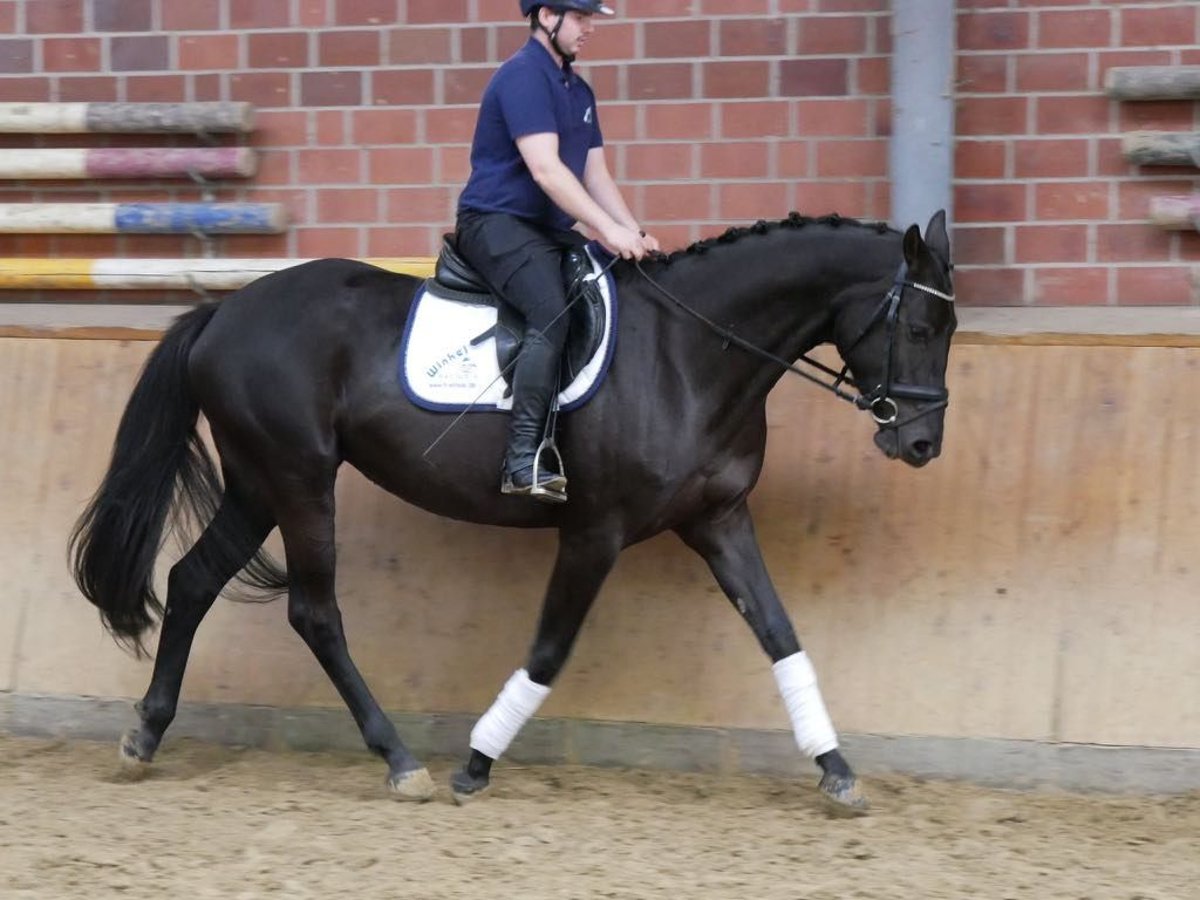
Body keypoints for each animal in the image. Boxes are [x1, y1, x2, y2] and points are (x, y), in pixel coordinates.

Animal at [72, 213, 955, 816]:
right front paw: (475, 763)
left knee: (191, 581)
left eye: (947, 329)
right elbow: (551, 649)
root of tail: (222, 313)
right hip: (298, 480)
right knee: (313, 612)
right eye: (917, 325)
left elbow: (779, 633)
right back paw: (401, 762)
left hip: (258, 484)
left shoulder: (719, 520)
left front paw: (837, 770)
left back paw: (144, 738)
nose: (921, 443)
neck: (689, 355)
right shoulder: (596, 531)